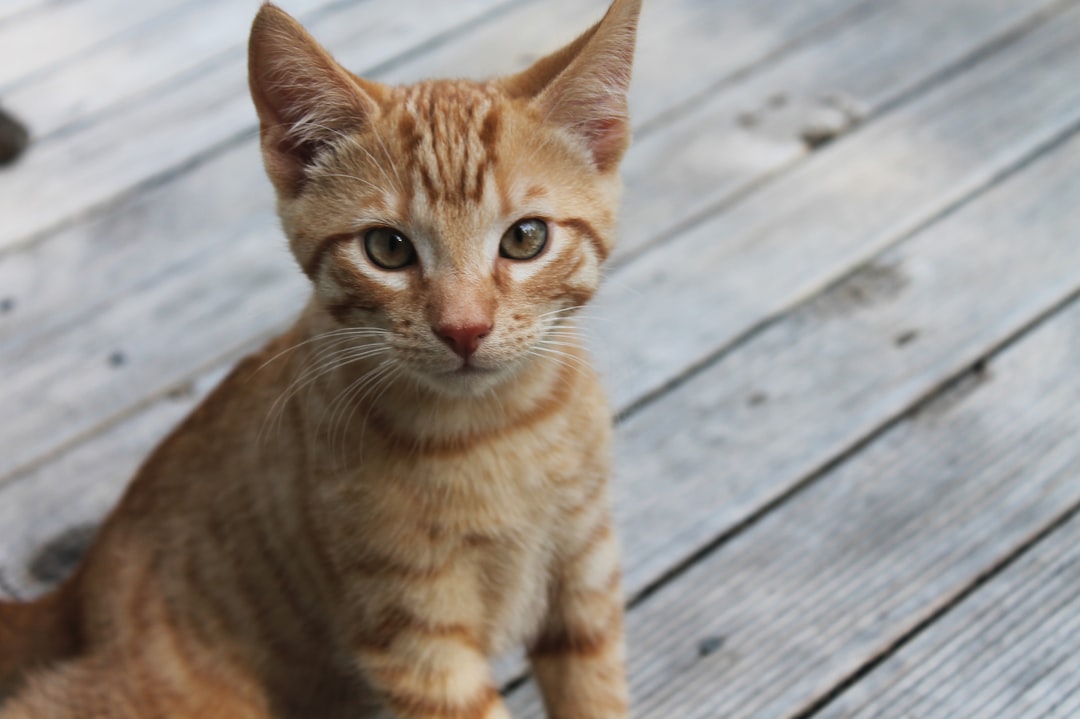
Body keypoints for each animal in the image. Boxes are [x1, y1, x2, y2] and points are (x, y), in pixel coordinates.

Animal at [0, 0, 640, 716]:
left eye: (526, 238)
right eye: (388, 248)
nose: (464, 329)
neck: (498, 430)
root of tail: (78, 588)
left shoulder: (584, 574)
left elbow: (596, 695)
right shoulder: (415, 639)